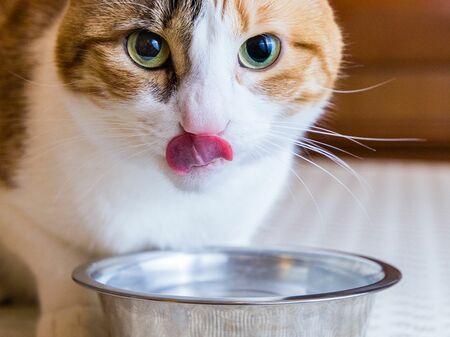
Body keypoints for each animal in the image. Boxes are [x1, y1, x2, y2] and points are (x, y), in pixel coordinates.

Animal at [0, 0, 342, 334]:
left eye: (260, 49)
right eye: (147, 47)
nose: (203, 127)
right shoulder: (17, 213)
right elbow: (54, 255)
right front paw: (75, 315)